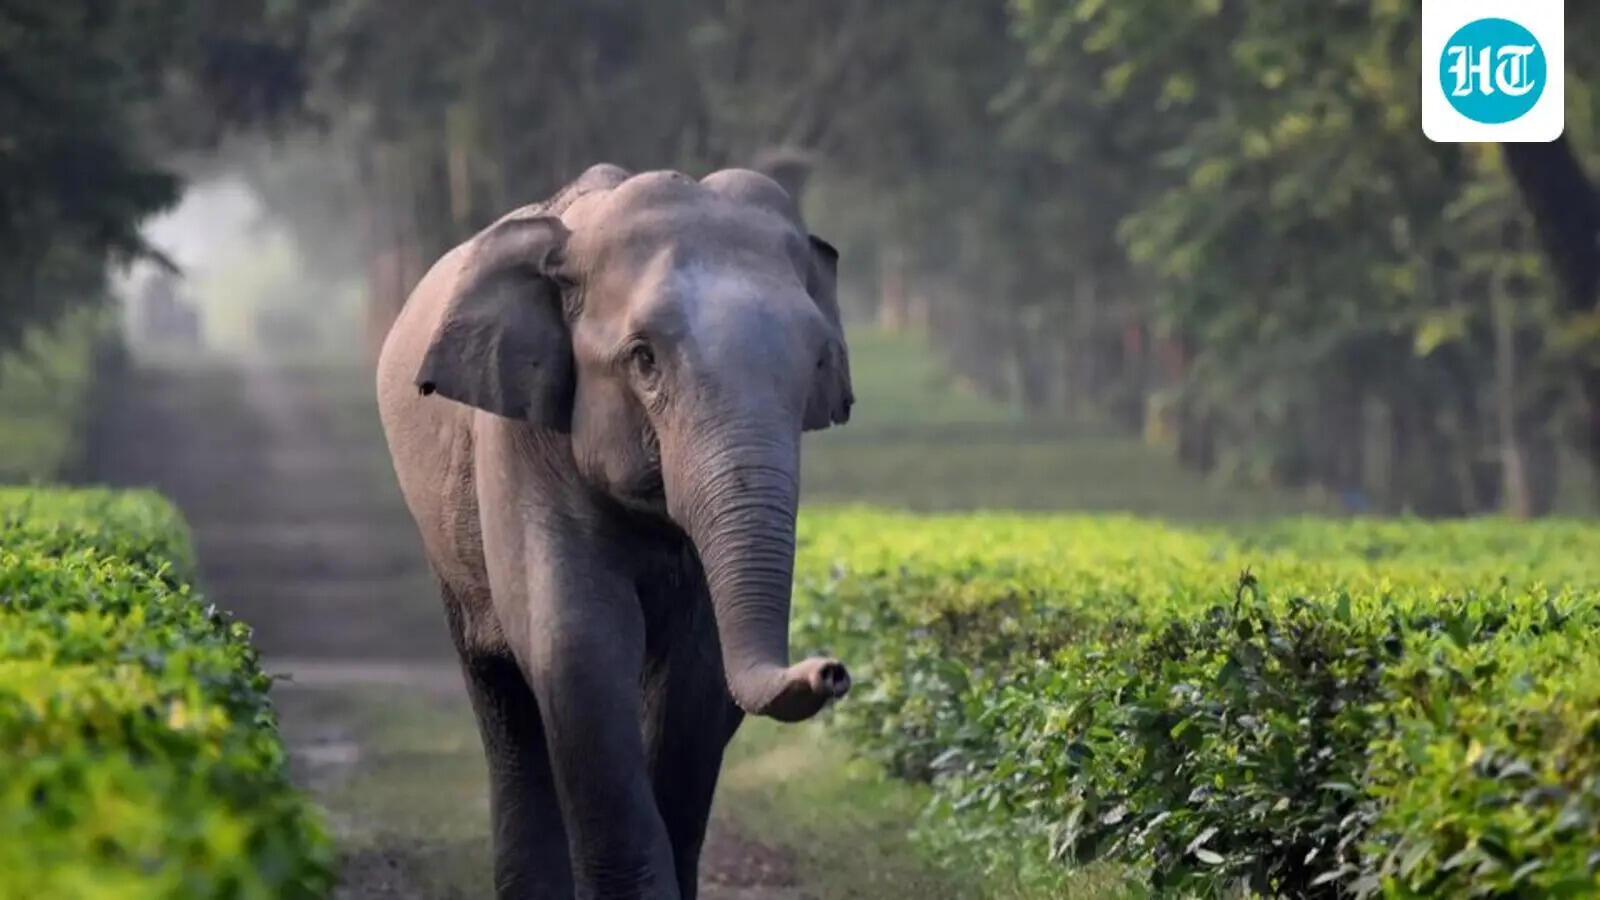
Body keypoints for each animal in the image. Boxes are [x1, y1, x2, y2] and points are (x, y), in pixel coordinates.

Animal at [375, 162, 854, 899]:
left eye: (818, 364)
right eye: (643, 359)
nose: (831, 670)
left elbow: (697, 671)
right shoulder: (521, 439)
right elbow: (579, 644)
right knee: (502, 695)